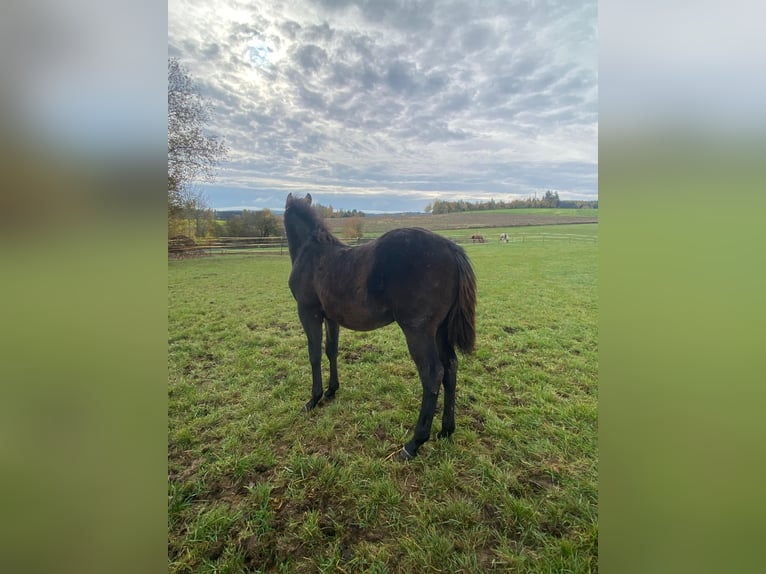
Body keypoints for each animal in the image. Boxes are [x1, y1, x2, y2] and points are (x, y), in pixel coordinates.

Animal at [284, 195, 476, 464]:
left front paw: (313, 399)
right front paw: (332, 391)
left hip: (418, 331)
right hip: (440, 331)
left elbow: (314, 355)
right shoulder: (331, 317)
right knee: (450, 367)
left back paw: (413, 444)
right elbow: (331, 351)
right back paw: (446, 430)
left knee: (432, 374)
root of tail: (451, 248)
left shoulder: (308, 312)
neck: (312, 254)